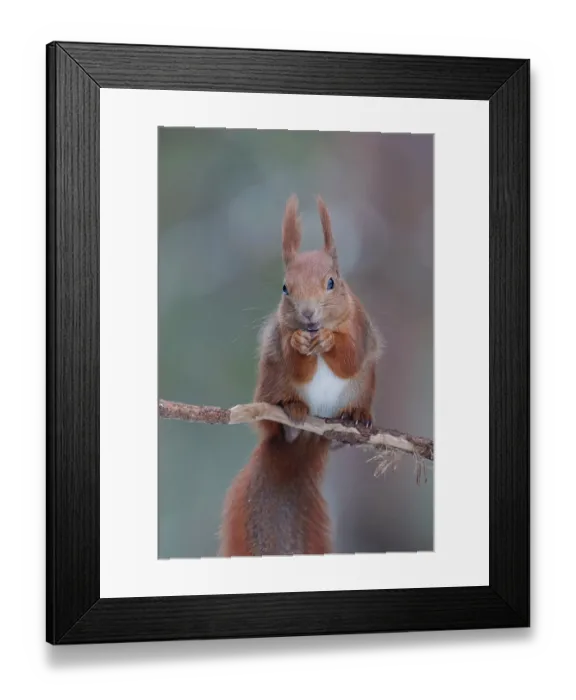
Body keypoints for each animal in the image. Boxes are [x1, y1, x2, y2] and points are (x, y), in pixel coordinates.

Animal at [219, 195, 383, 557]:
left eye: (332, 282)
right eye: (285, 288)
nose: (308, 315)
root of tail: (308, 437)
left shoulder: (359, 327)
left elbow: (349, 358)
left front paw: (331, 341)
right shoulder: (281, 339)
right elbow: (296, 363)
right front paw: (298, 344)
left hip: (361, 390)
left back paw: (356, 416)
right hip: (271, 388)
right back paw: (292, 409)